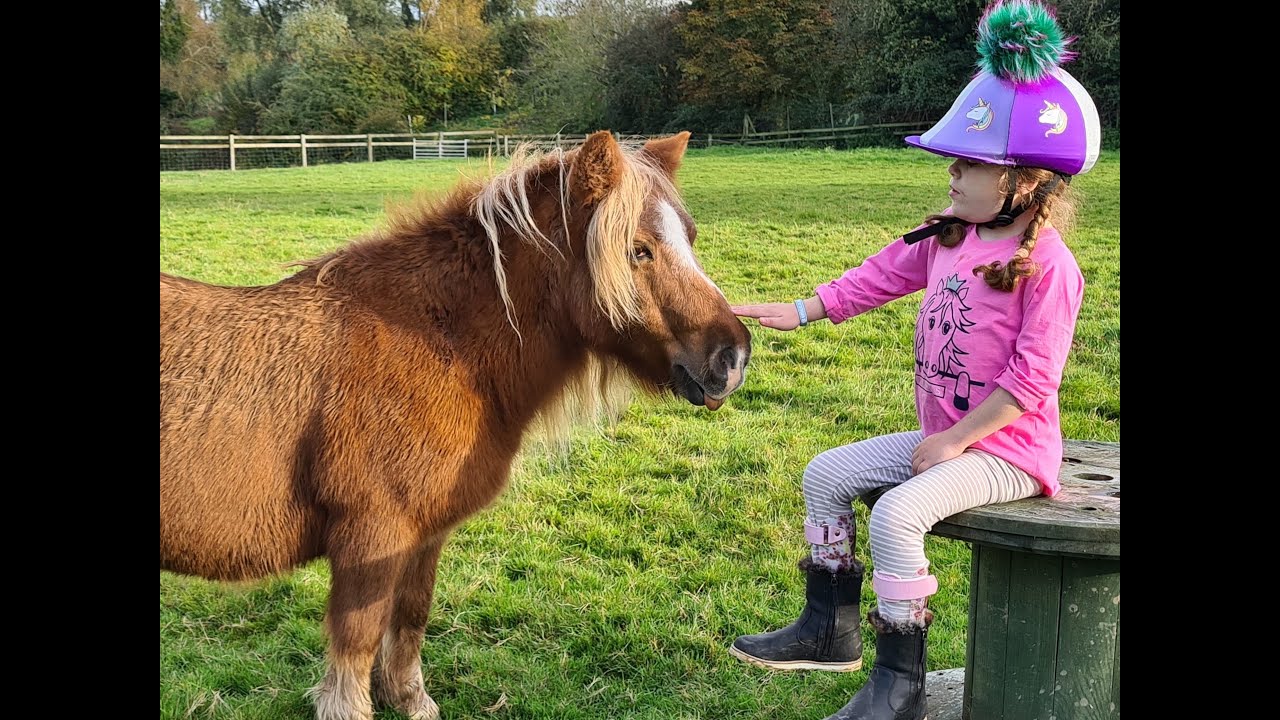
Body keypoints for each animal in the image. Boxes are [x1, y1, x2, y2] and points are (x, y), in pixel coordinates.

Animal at [160, 131, 751, 720]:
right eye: (638, 249)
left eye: (690, 238)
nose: (733, 357)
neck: (437, 343)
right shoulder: (369, 540)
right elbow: (354, 653)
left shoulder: (422, 537)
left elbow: (410, 620)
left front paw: (409, 699)